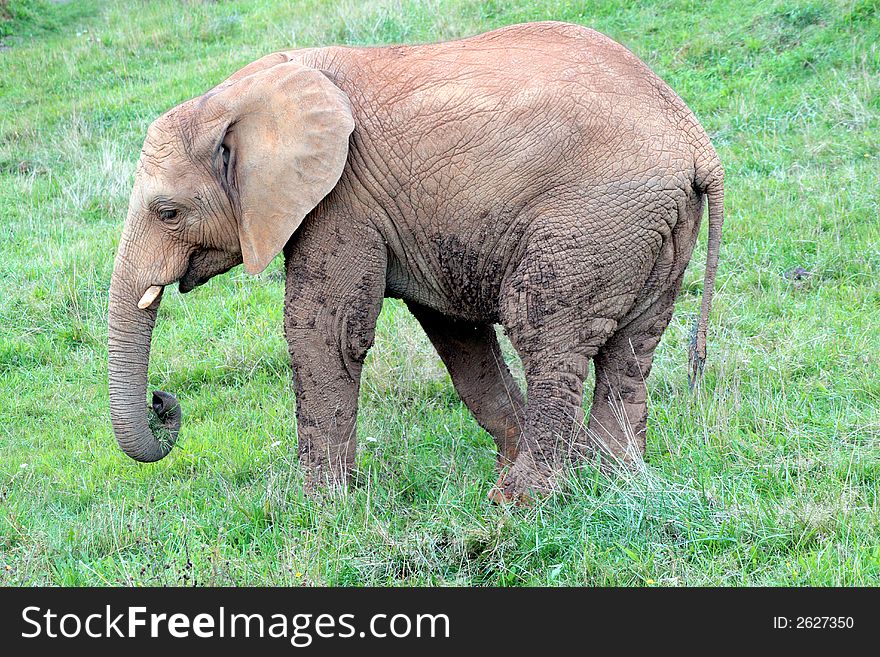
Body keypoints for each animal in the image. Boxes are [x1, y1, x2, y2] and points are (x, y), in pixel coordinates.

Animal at [108, 20, 720, 502]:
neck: (237, 95)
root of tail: (696, 143)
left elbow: (325, 332)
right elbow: (457, 335)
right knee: (632, 348)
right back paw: (614, 481)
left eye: (167, 212)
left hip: (591, 219)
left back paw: (519, 502)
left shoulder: (340, 198)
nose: (163, 400)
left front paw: (318, 506)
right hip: (652, 225)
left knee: (547, 332)